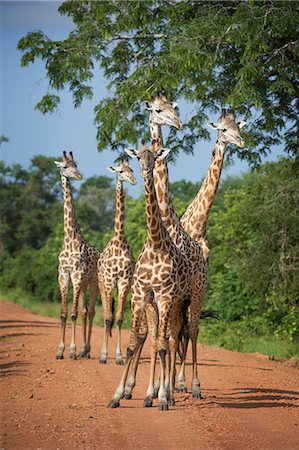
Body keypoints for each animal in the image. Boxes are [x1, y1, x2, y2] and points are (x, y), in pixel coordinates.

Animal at [109, 142, 191, 410]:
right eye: (138, 157)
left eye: (154, 157)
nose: (145, 171)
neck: (155, 243)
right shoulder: (140, 295)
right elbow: (132, 345)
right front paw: (116, 395)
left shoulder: (164, 296)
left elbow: (164, 347)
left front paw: (163, 398)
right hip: (155, 305)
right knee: (157, 339)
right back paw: (149, 394)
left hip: (177, 304)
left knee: (172, 340)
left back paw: (169, 393)